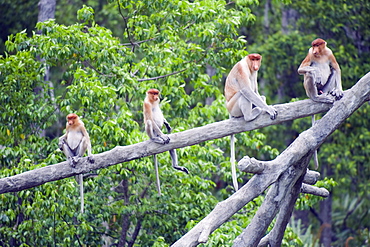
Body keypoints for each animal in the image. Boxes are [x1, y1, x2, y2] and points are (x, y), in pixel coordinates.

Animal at [223, 53, 278, 190]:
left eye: (257, 59)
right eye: (253, 59)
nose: (256, 65)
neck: (248, 66)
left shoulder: (255, 73)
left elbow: (256, 92)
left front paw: (267, 107)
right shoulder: (241, 70)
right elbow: (247, 90)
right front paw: (269, 109)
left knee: (258, 96)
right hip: (233, 107)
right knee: (243, 94)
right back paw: (251, 115)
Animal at [298, 38, 344, 169]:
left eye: (317, 45)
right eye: (313, 46)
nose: (314, 50)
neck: (321, 54)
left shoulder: (330, 53)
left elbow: (336, 68)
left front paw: (339, 91)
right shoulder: (310, 54)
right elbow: (301, 69)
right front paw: (317, 73)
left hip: (325, 87)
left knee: (333, 71)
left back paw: (330, 92)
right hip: (309, 90)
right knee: (309, 74)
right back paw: (317, 97)